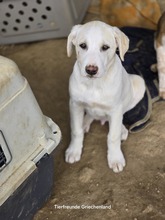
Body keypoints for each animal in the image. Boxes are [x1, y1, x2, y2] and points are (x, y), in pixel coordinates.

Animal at [65, 20, 145, 173]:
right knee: (90, 115)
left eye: (105, 47)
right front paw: (74, 150)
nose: (91, 70)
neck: (94, 84)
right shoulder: (75, 104)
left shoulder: (115, 109)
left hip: (139, 82)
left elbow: (112, 136)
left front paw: (115, 159)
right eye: (82, 45)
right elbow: (76, 130)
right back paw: (85, 122)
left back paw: (122, 129)